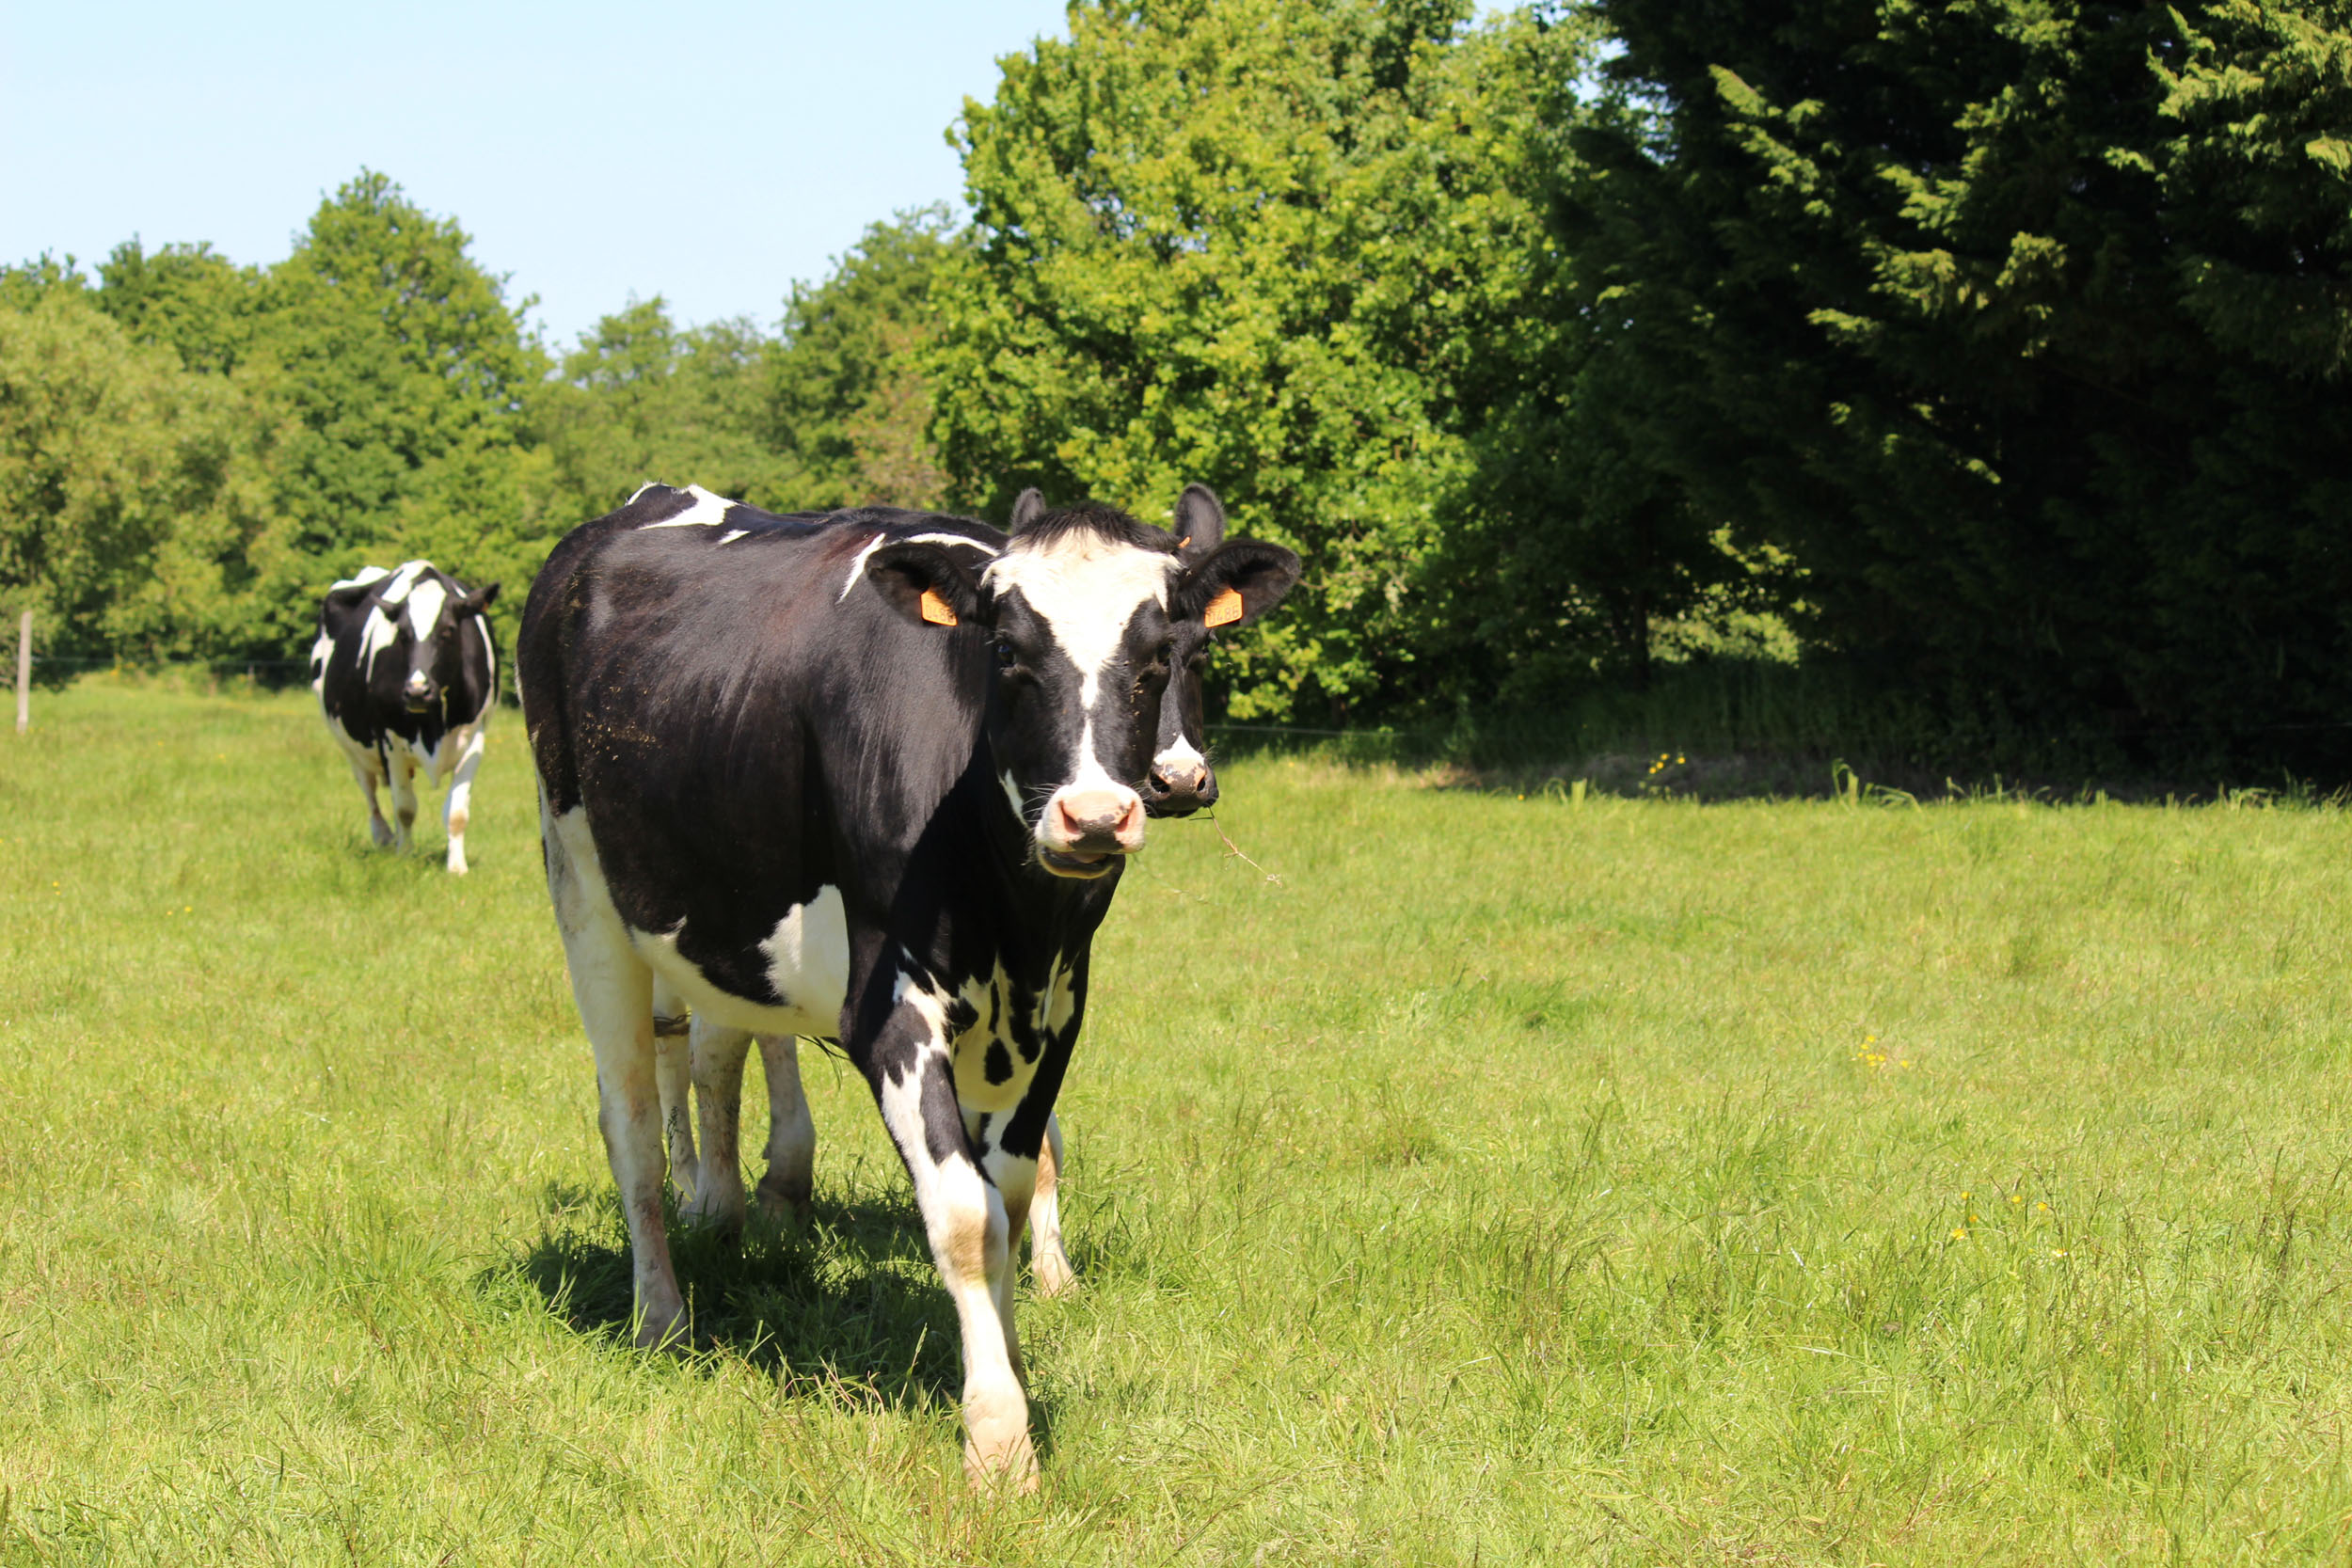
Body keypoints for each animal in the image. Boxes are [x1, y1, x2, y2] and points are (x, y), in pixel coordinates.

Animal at [310, 562, 503, 883]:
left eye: (449, 630)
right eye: (402, 634)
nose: (416, 691)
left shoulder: (474, 739)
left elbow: (457, 813)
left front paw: (457, 866)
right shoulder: (390, 740)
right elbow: (404, 808)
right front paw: (404, 856)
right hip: (350, 747)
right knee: (371, 794)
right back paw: (385, 838)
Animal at [519, 479, 1308, 1485]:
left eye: (1166, 653)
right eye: (1006, 652)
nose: (1099, 813)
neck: (1010, 907)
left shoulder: (1058, 1007)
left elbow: (1012, 1189)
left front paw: (1012, 1361)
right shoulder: (889, 1013)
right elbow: (968, 1218)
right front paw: (1000, 1442)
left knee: (720, 1049)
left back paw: (733, 1215)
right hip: (585, 890)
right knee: (631, 1128)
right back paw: (662, 1313)